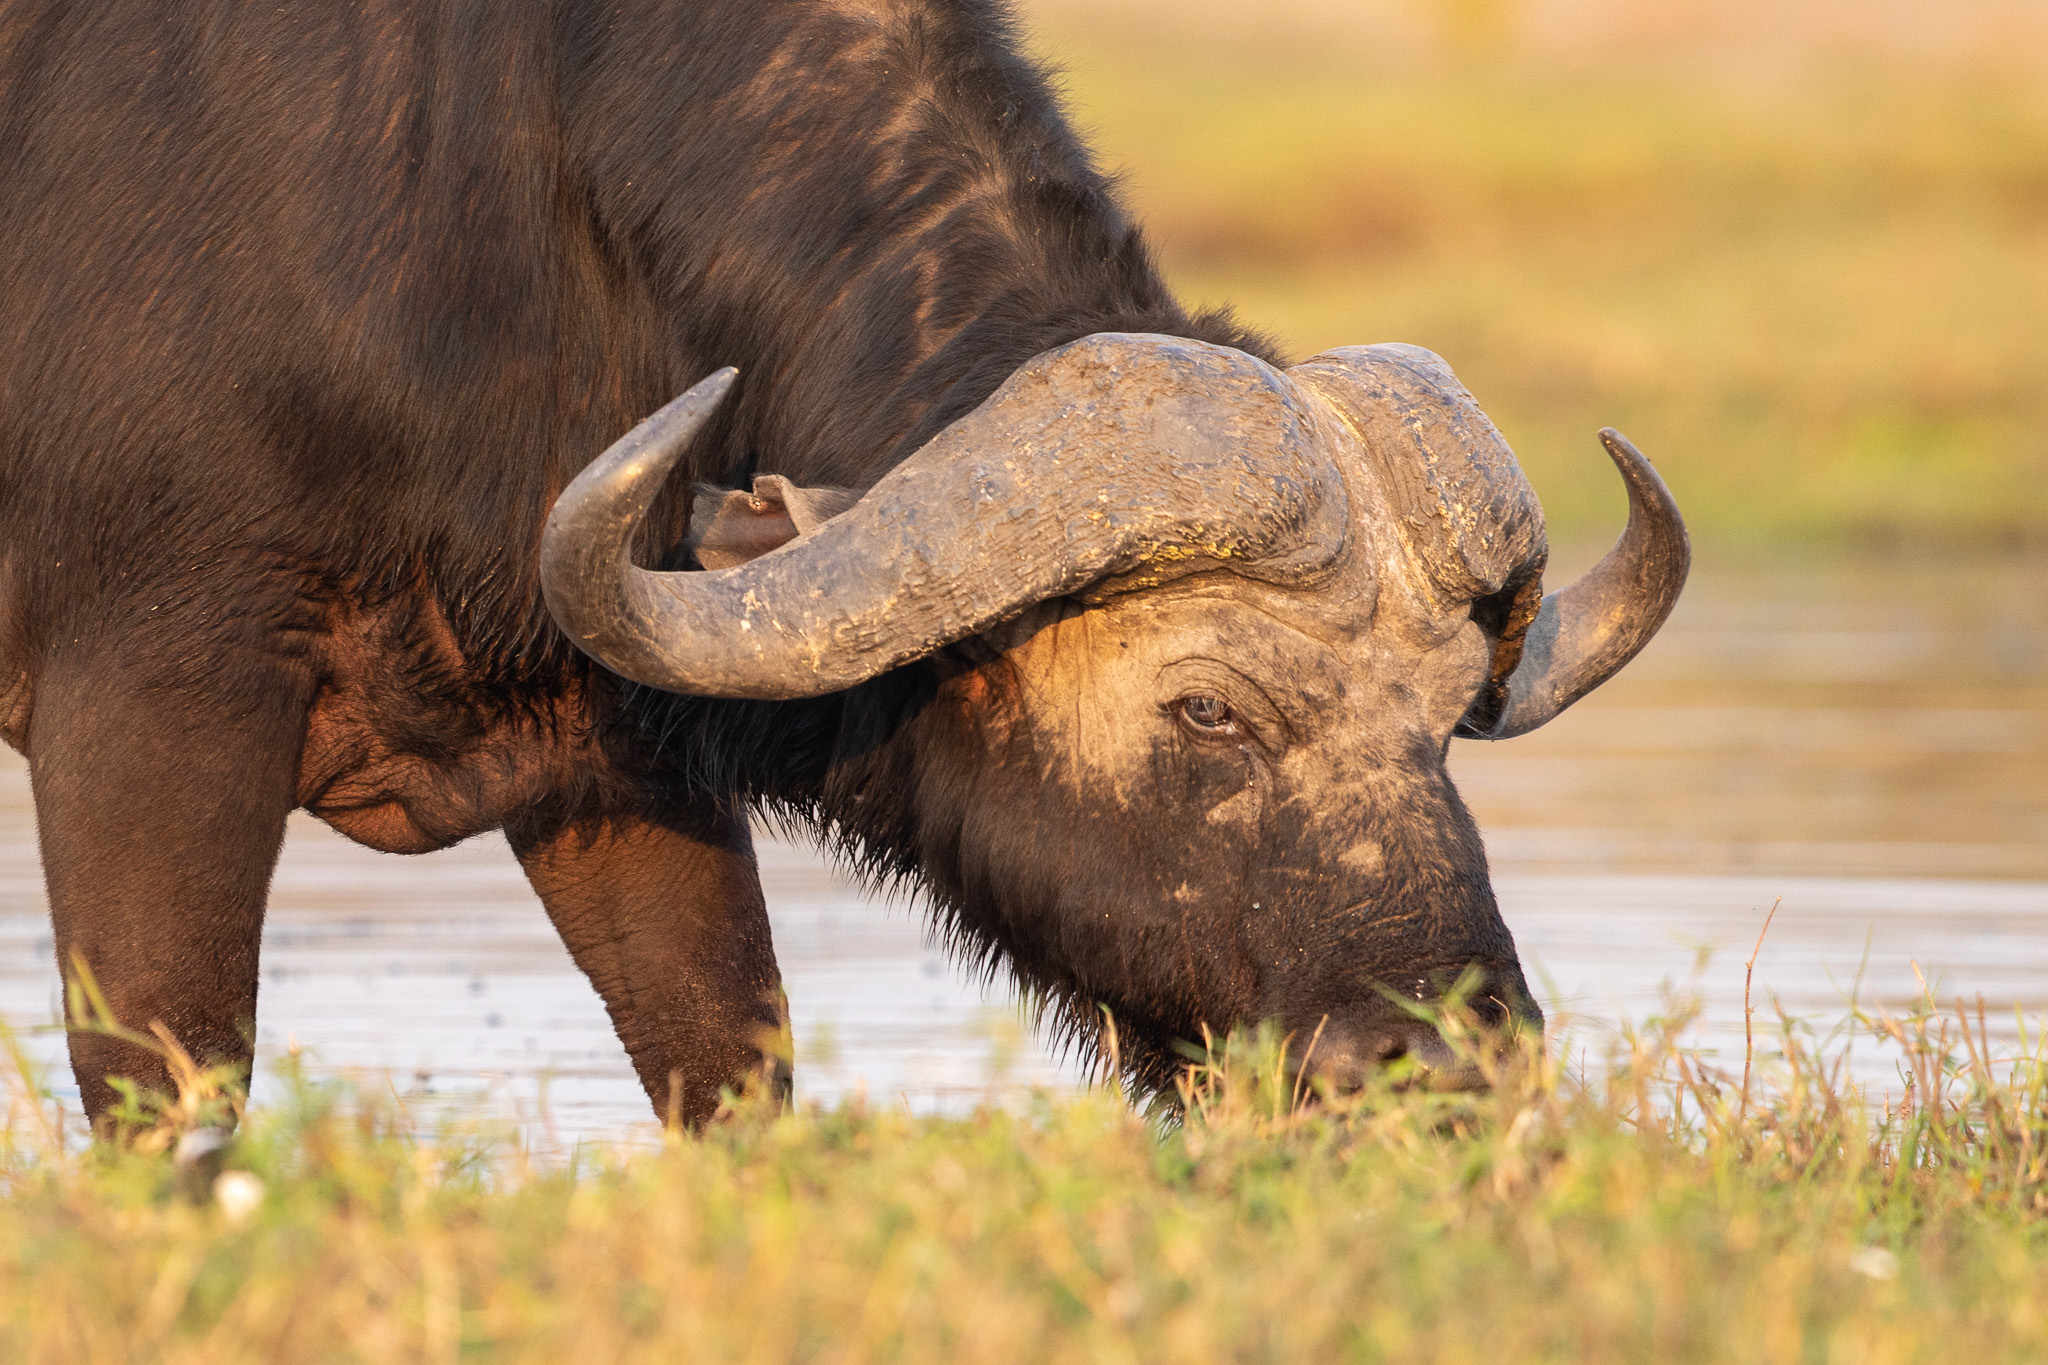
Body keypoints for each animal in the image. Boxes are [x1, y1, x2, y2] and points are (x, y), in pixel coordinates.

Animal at [0, 0, 1679, 1121]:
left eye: (1447, 716)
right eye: (1208, 709)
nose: (1445, 1067)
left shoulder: (607, 759)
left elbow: (729, 1059)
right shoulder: (150, 694)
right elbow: (170, 1078)